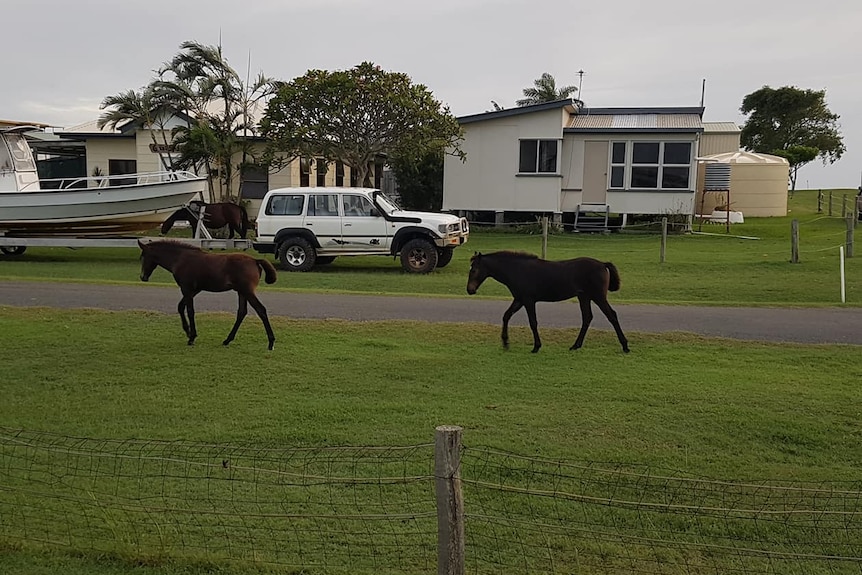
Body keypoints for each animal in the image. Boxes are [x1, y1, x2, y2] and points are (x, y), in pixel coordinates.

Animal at [139, 240, 276, 348]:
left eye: (143, 257)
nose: (142, 277)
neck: (180, 259)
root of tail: (255, 260)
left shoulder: (186, 289)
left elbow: (190, 311)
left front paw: (191, 337)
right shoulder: (194, 290)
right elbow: (180, 307)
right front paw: (188, 331)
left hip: (247, 291)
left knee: (261, 310)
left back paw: (271, 342)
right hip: (241, 292)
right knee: (242, 312)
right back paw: (227, 340)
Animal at [470, 253, 632, 356]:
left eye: (474, 270)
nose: (469, 289)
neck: (518, 270)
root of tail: (603, 264)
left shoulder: (528, 300)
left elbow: (533, 322)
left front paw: (536, 347)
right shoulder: (519, 299)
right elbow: (506, 316)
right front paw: (505, 343)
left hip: (598, 296)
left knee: (611, 315)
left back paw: (625, 346)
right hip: (584, 297)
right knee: (587, 317)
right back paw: (575, 346)